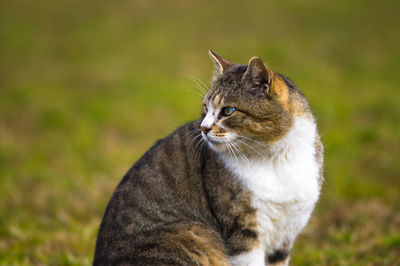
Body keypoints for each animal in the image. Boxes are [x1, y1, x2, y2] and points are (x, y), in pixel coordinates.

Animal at [94, 50, 324, 266]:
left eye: (228, 110)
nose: (203, 128)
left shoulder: (285, 236)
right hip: (194, 233)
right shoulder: (241, 233)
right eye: (206, 107)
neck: (276, 158)